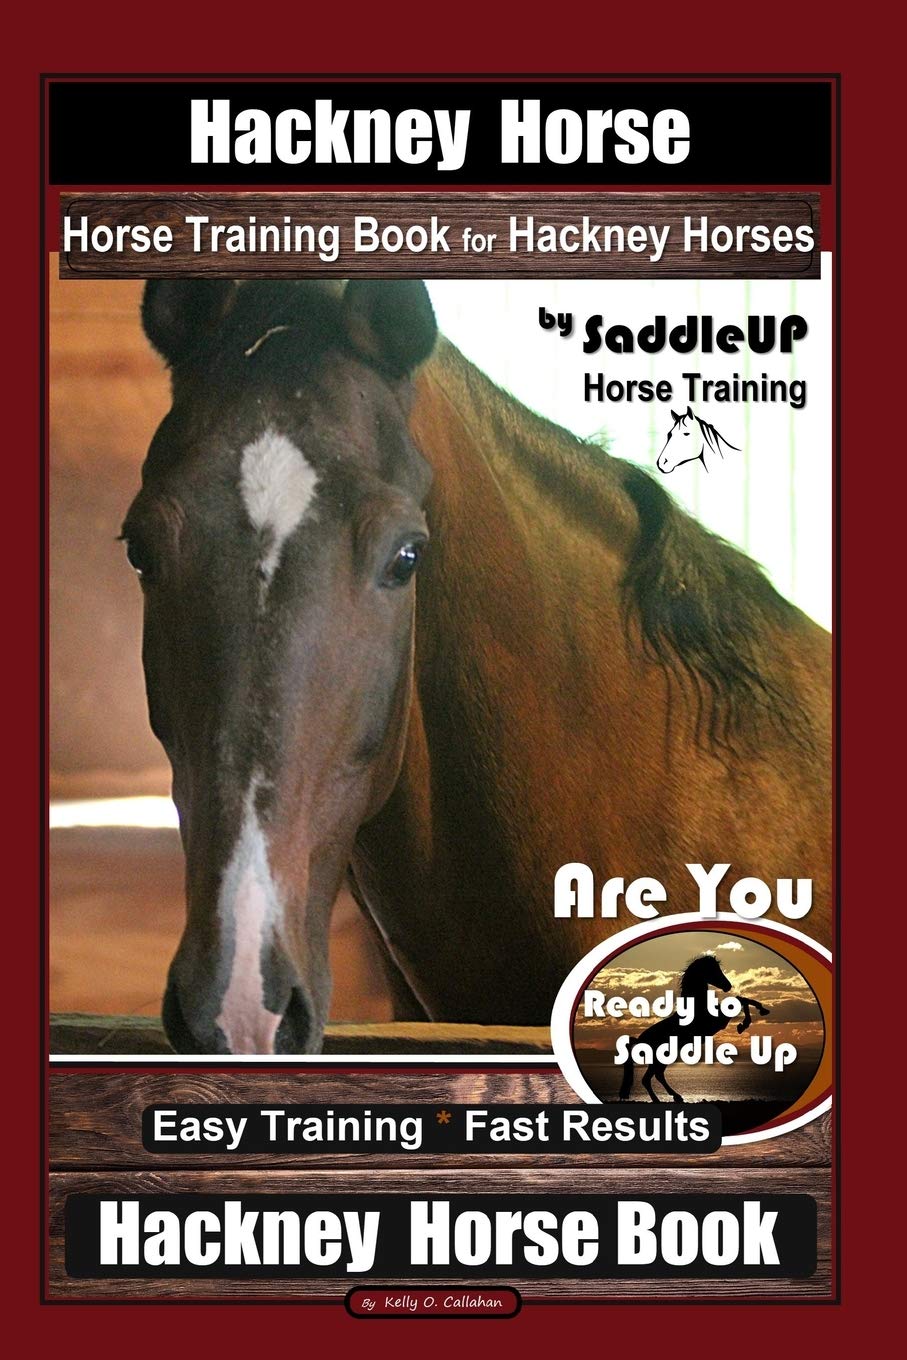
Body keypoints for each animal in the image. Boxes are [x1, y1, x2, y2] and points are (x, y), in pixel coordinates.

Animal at [616, 954, 770, 1102]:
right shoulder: (719, 1021)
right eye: (713, 970)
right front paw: (744, 1024)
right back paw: (662, 1099)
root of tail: (639, 1040)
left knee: (657, 1075)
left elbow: (742, 999)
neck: (697, 1006)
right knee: (647, 1079)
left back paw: (676, 1097)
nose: (728, 986)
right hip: (658, 1058)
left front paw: (761, 1010)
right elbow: (740, 1001)